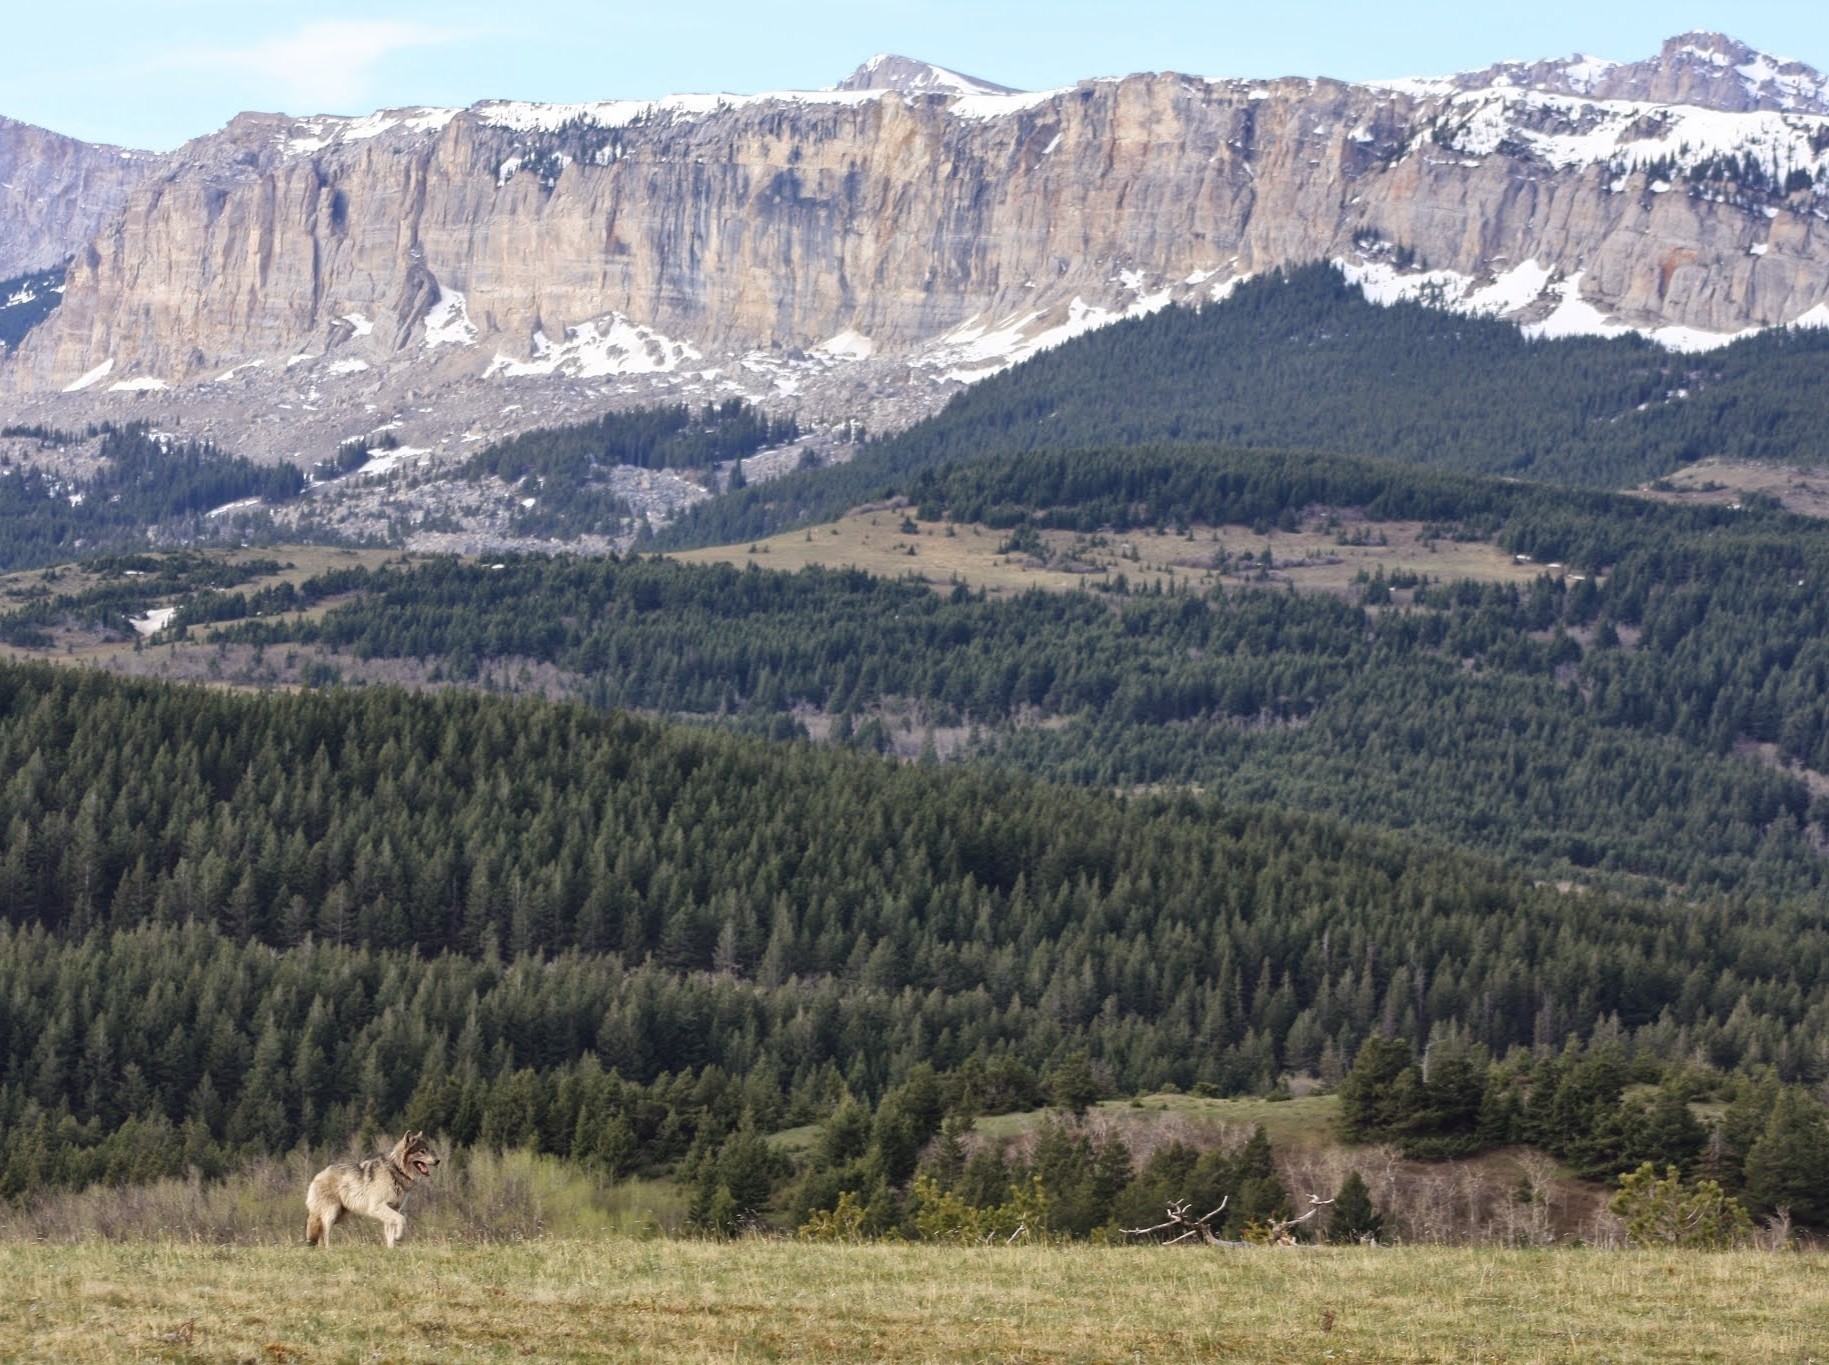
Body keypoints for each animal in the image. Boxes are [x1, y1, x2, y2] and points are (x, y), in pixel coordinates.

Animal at [304, 1130, 441, 1248]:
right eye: (422, 1151)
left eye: (428, 1150)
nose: (437, 1161)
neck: (396, 1170)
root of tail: (316, 1176)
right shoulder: (378, 1207)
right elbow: (402, 1220)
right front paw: (399, 1236)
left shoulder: (393, 1209)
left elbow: (390, 1234)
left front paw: (391, 1249)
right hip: (331, 1214)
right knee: (324, 1232)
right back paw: (328, 1249)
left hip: (339, 1215)